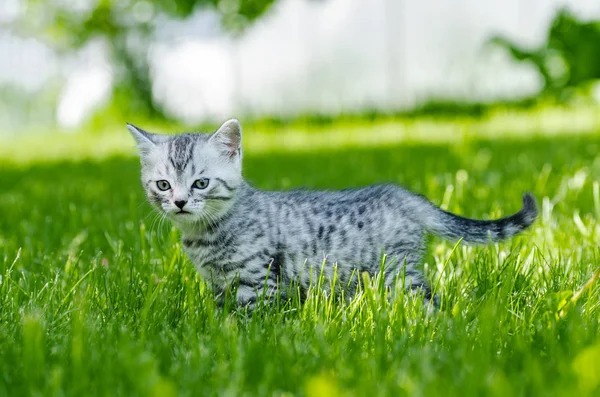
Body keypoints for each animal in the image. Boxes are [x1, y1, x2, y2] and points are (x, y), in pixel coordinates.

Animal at [127, 119, 540, 308]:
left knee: (428, 300)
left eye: (201, 183)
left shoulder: (258, 280)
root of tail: (396, 192)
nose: (180, 202)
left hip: (398, 272)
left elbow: (252, 319)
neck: (206, 235)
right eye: (163, 185)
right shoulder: (219, 285)